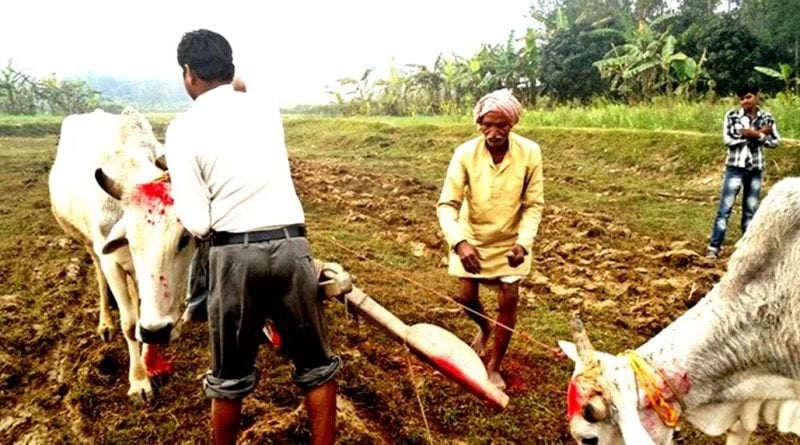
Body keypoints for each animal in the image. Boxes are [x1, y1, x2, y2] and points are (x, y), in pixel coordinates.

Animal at [48, 108, 195, 402]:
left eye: (185, 239)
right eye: (132, 239)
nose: (159, 330)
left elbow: (141, 317)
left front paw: (152, 365)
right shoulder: (112, 263)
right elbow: (130, 324)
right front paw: (139, 382)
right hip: (90, 246)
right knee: (99, 276)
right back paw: (105, 323)